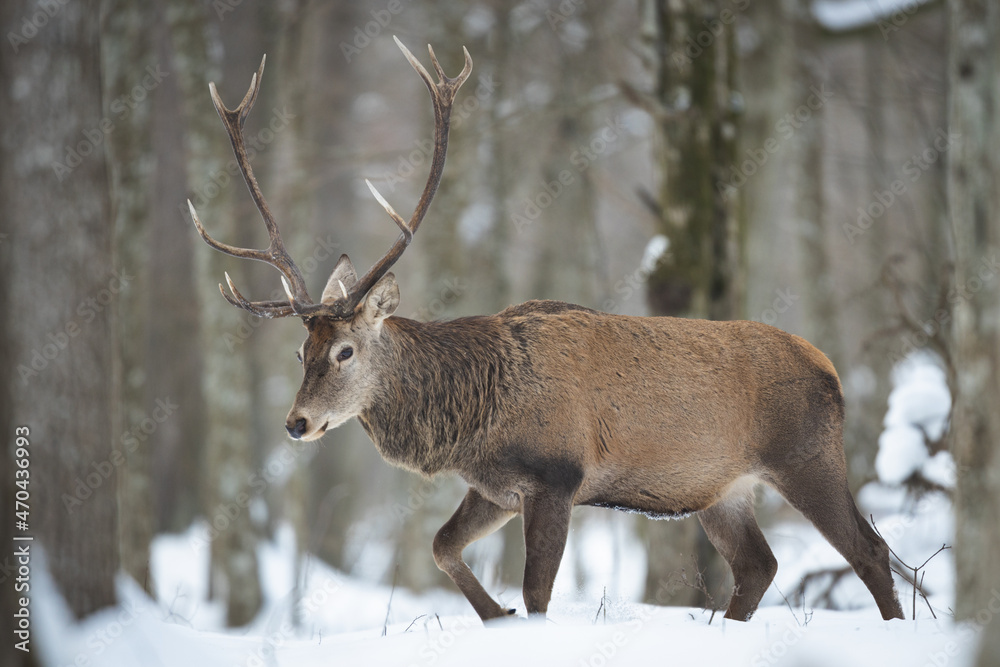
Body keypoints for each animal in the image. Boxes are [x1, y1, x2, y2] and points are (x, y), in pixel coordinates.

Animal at [189, 38, 904, 624]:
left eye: (344, 350)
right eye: (300, 349)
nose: (297, 423)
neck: (474, 416)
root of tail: (831, 368)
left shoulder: (558, 475)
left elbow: (538, 592)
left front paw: (516, 616)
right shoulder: (496, 485)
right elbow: (442, 548)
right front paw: (494, 615)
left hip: (806, 455)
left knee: (870, 550)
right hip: (723, 489)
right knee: (760, 565)